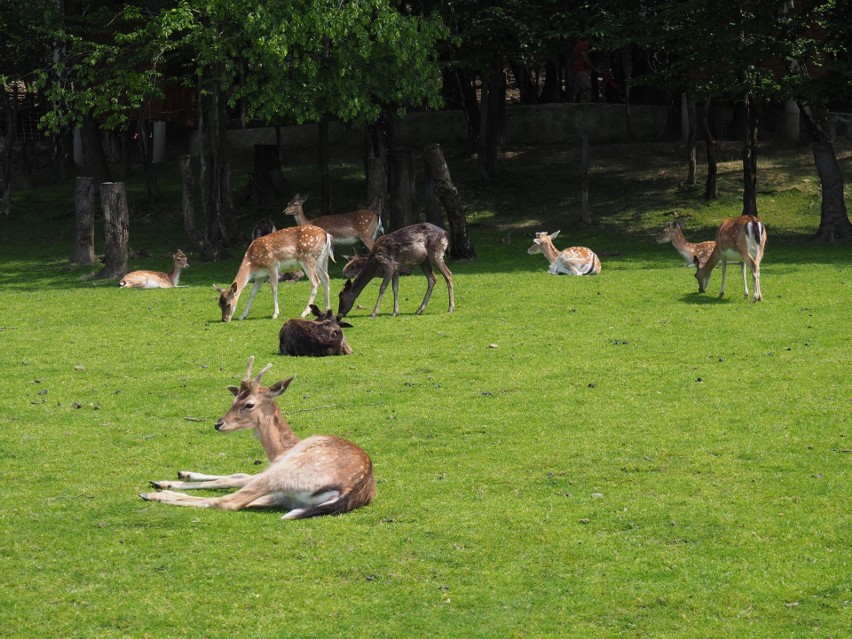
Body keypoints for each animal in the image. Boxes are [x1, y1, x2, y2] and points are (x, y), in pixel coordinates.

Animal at [141, 358, 374, 524]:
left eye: (249, 404)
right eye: (234, 399)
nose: (219, 424)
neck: (280, 450)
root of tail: (351, 490)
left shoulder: (277, 466)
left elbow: (230, 480)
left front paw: (164, 483)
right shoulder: (278, 492)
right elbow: (238, 475)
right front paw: (181, 474)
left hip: (289, 472)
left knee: (227, 502)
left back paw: (154, 495)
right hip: (288, 496)